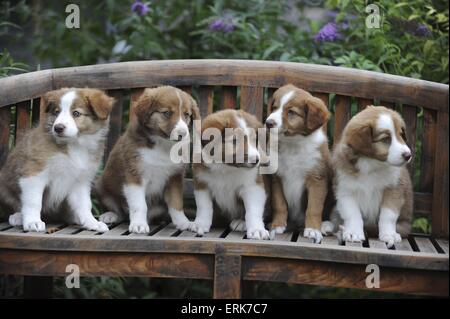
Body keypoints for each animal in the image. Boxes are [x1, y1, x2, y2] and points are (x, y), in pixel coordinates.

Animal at [1, 87, 116, 232]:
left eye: (76, 113)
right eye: (56, 112)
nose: (58, 128)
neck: (74, 145)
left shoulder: (80, 181)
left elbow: (84, 204)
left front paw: (92, 222)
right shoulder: (34, 172)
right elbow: (34, 201)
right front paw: (33, 222)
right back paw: (18, 216)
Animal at [96, 86, 200, 234]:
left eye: (186, 114)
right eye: (166, 113)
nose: (183, 134)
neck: (162, 145)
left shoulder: (174, 177)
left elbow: (176, 202)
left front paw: (183, 222)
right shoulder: (134, 175)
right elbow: (139, 205)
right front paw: (139, 225)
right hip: (102, 186)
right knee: (117, 210)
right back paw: (109, 215)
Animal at [191, 109, 270, 240]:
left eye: (254, 140)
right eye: (235, 141)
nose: (256, 160)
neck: (226, 167)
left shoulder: (253, 187)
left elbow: (253, 210)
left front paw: (257, 229)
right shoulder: (202, 184)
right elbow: (204, 206)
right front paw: (200, 224)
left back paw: (241, 222)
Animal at [264, 84, 330, 244]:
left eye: (291, 112)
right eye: (274, 108)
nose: (268, 123)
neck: (293, 144)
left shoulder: (317, 179)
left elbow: (314, 207)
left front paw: (312, 230)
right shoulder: (277, 178)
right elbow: (279, 204)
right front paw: (277, 225)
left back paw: (325, 225)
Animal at [328, 106, 414, 249]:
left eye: (401, 134)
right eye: (386, 139)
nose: (408, 155)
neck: (372, 165)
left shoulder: (394, 189)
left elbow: (388, 215)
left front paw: (389, 235)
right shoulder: (345, 190)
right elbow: (353, 213)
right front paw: (353, 233)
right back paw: (329, 227)